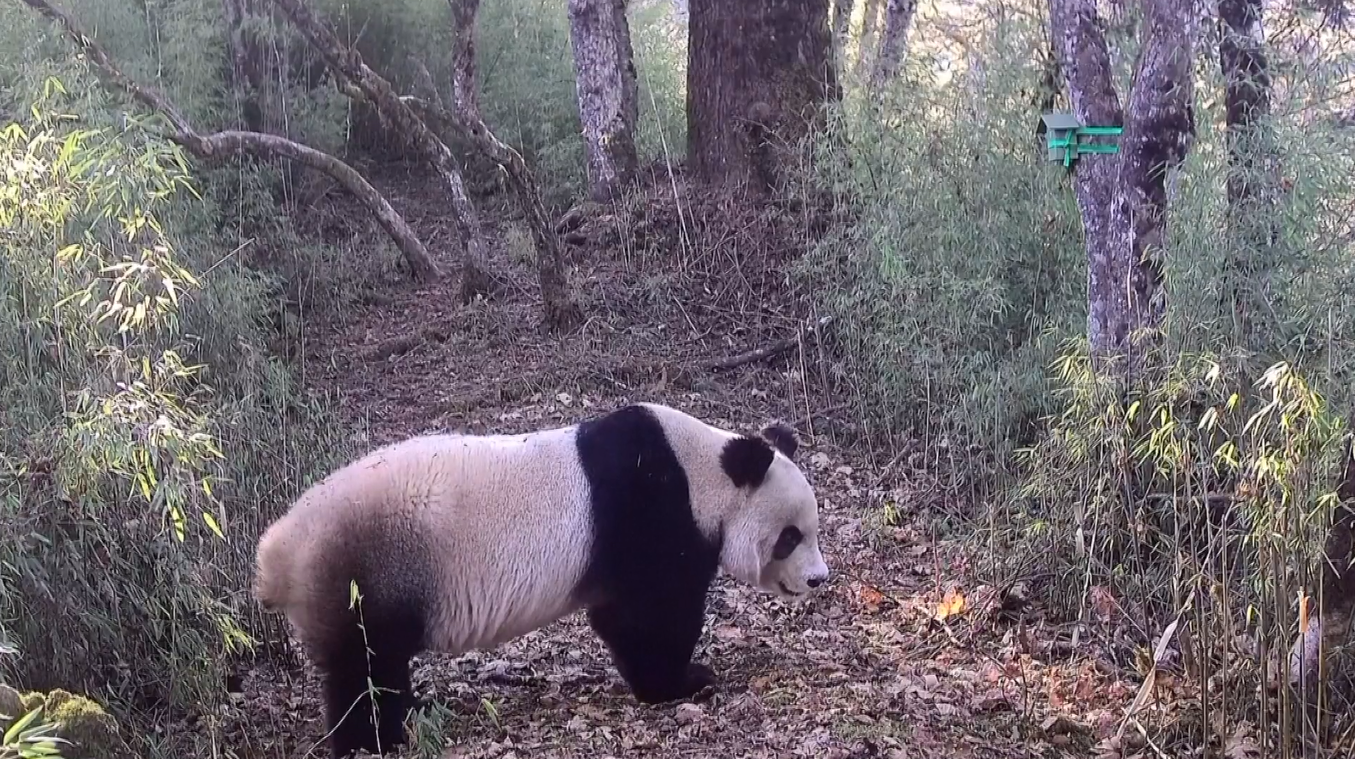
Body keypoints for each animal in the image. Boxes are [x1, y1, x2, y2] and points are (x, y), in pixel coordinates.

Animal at [253, 401, 829, 757]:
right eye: (790, 537)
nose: (819, 580)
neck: (703, 473)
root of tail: (277, 552)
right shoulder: (648, 511)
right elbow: (646, 615)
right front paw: (686, 681)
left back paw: (414, 713)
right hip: (365, 572)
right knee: (363, 665)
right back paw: (376, 739)